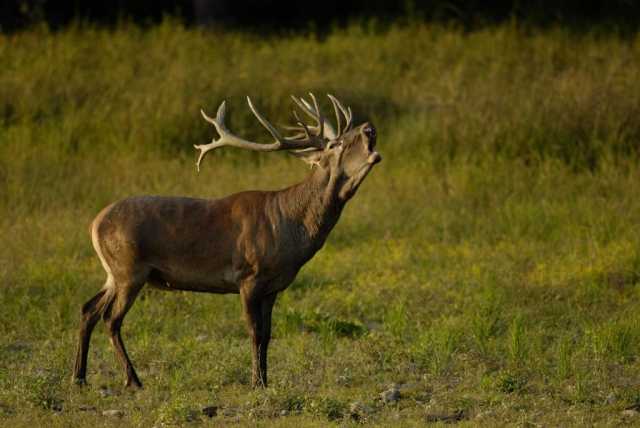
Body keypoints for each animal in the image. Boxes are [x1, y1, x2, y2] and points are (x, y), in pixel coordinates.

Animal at [71, 93, 380, 388]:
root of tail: (94, 224)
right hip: (130, 269)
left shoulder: (273, 287)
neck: (292, 229)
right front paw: (256, 382)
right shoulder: (248, 277)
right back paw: (132, 379)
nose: (369, 127)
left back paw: (79, 377)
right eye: (336, 144)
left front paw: (265, 379)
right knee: (111, 319)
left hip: (114, 273)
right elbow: (255, 332)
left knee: (88, 309)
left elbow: (268, 334)